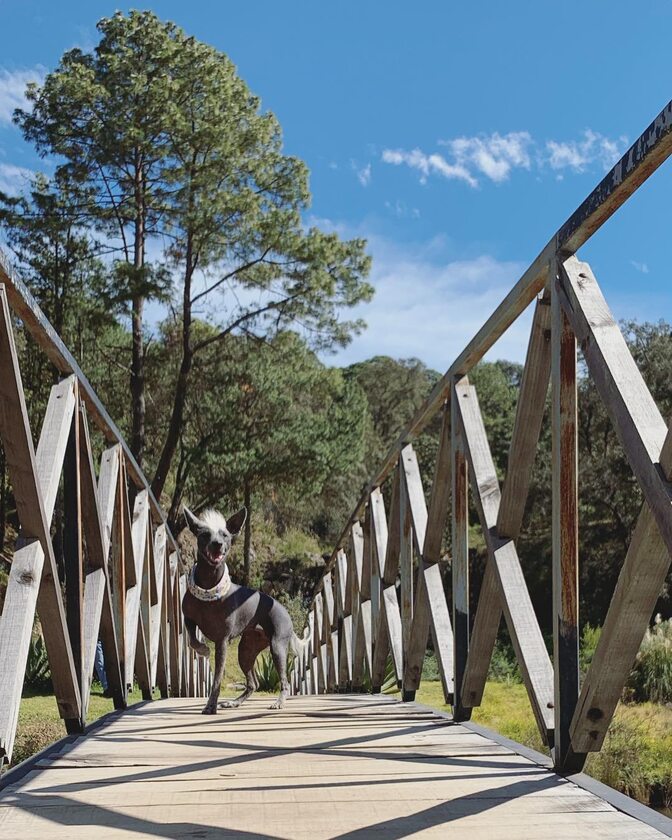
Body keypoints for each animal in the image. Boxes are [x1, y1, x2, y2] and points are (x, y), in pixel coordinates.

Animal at [181, 506, 308, 716]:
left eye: (225, 535)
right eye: (204, 534)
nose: (217, 544)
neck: (209, 585)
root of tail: (281, 607)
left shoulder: (222, 641)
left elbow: (217, 679)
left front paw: (210, 706)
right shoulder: (188, 618)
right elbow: (192, 641)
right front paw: (204, 649)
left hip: (277, 646)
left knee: (284, 680)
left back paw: (279, 702)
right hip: (246, 650)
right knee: (253, 683)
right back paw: (234, 703)